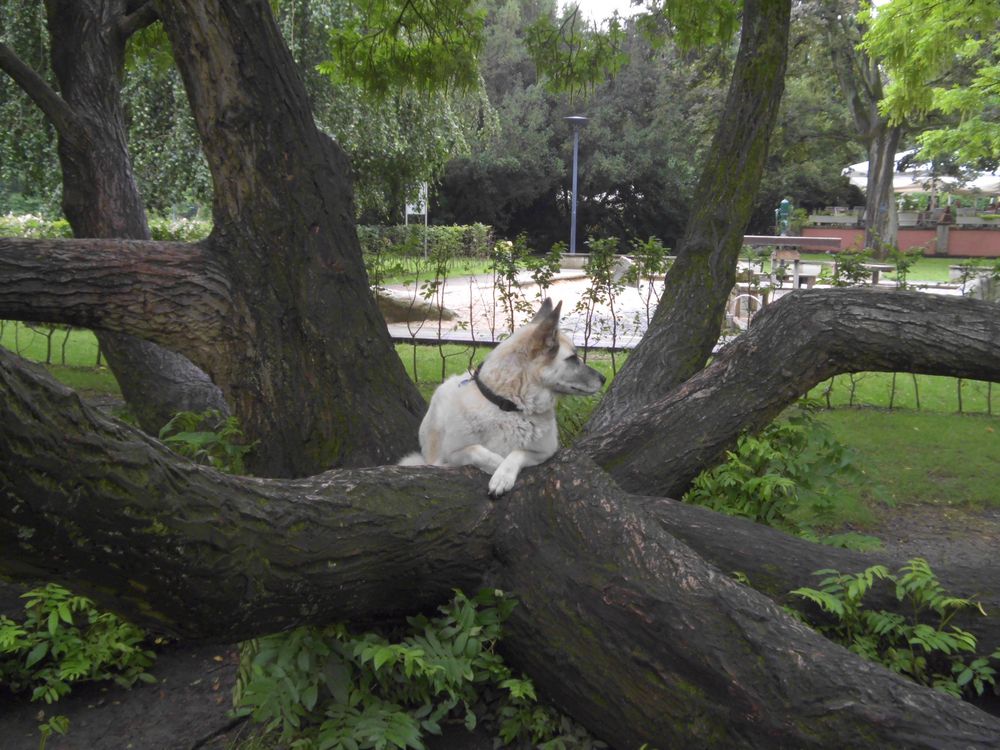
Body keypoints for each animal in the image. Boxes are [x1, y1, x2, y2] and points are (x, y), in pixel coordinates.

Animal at [396, 300, 600, 500]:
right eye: (573, 358)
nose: (603, 379)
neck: (509, 406)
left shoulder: (544, 452)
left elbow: (517, 453)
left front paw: (502, 475)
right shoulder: (454, 452)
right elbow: (478, 451)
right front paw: (496, 466)